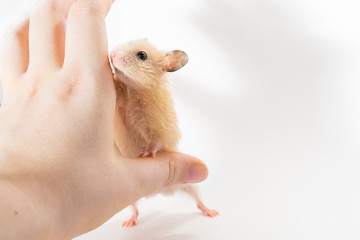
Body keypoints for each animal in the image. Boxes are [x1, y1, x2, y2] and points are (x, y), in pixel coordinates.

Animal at [109, 39, 218, 227]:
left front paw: (146, 154)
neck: (134, 91)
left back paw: (211, 212)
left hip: (188, 183)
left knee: (197, 197)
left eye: (142, 55)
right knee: (135, 208)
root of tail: (162, 191)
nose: (112, 54)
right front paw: (113, 75)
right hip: (130, 197)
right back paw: (129, 222)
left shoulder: (160, 127)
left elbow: (155, 142)